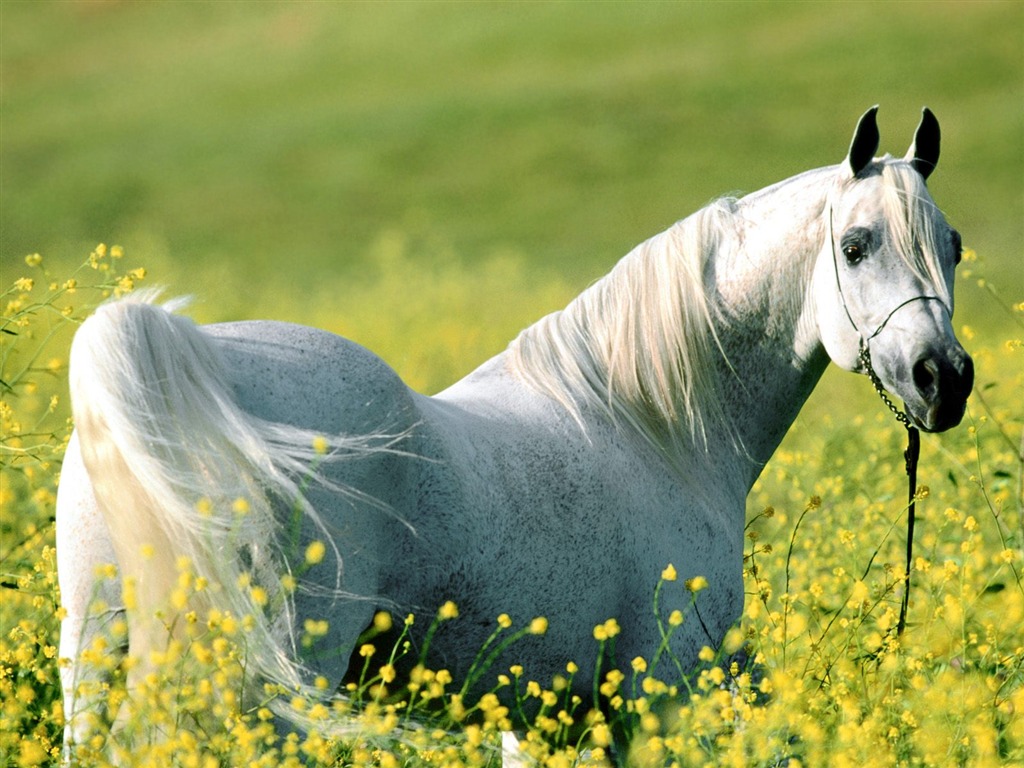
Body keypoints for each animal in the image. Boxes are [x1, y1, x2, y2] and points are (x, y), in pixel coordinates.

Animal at [58, 109, 974, 757]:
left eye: (954, 247)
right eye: (855, 245)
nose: (946, 378)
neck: (652, 427)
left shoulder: (542, 723)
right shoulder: (661, 702)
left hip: (97, 661)